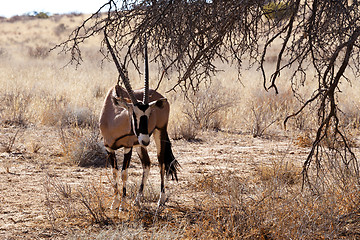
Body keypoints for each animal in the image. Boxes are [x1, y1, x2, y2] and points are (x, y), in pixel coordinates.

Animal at [99, 32, 179, 210]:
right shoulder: (109, 147)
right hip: (140, 145)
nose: (145, 139)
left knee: (161, 162)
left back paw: (160, 200)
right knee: (147, 164)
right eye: (133, 114)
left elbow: (124, 173)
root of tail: (160, 96)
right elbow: (115, 172)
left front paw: (122, 204)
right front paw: (115, 202)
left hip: (159, 133)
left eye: (149, 114)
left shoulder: (127, 147)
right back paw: (137, 199)